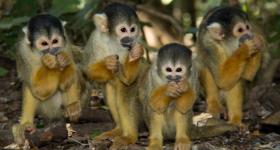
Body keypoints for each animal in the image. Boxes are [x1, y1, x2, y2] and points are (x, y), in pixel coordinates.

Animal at [13, 14, 81, 145]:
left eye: (54, 41)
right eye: (44, 43)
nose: (52, 51)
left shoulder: (66, 43)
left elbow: (67, 81)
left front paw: (64, 59)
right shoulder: (23, 51)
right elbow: (38, 90)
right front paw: (50, 63)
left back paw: (71, 106)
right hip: (46, 110)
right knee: (28, 85)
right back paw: (26, 124)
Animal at [81, 2, 144, 149]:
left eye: (132, 29)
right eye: (123, 30)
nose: (129, 38)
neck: (113, 42)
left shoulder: (137, 40)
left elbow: (128, 79)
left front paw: (135, 54)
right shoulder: (95, 40)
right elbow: (87, 70)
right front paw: (108, 64)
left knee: (124, 94)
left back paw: (129, 137)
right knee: (109, 88)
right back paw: (119, 130)